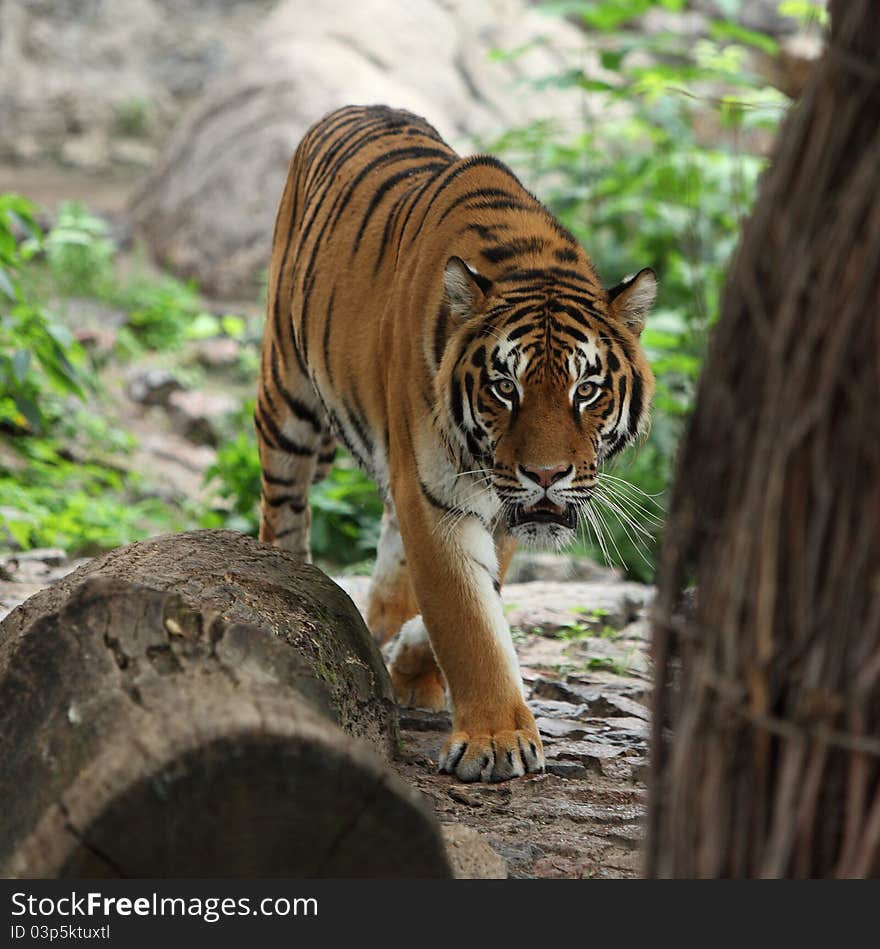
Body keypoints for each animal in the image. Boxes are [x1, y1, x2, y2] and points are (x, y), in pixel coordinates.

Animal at [254, 105, 652, 784]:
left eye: (587, 390)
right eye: (504, 387)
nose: (547, 474)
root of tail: (356, 106)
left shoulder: (502, 505)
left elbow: (468, 595)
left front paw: (415, 660)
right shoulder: (436, 495)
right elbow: (466, 617)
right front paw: (495, 739)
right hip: (286, 390)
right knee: (283, 508)